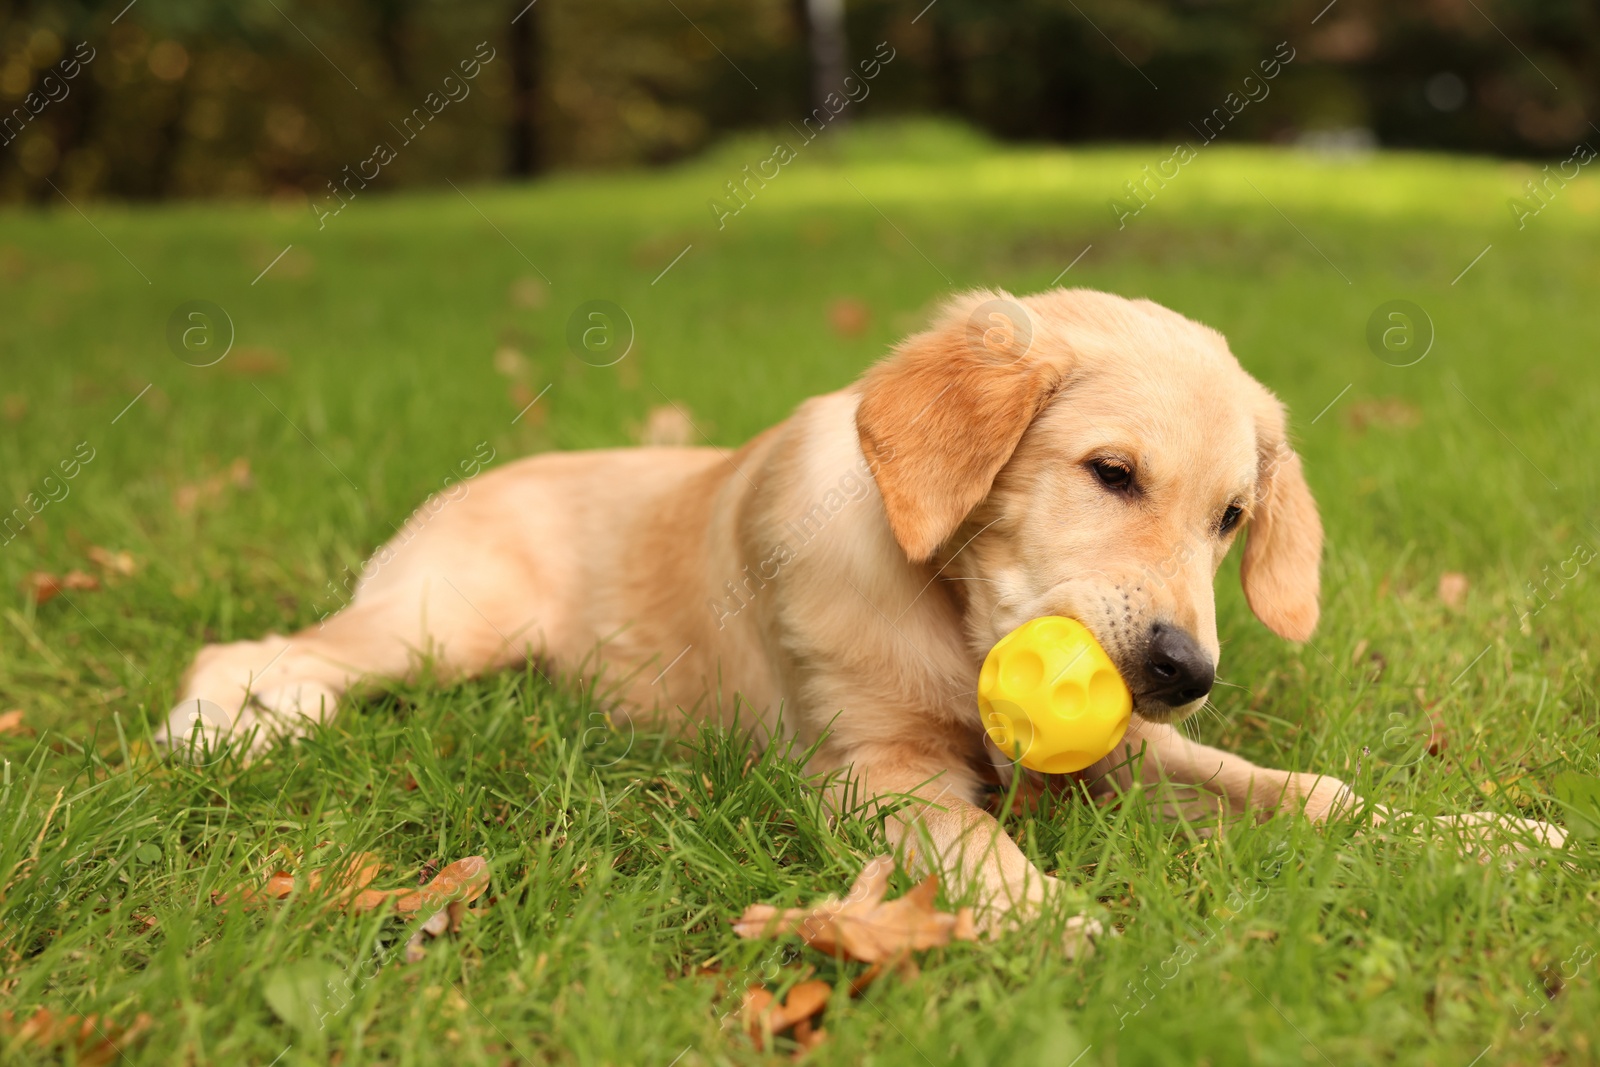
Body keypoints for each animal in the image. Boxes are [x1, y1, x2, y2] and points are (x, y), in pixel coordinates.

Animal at [172, 289, 1561, 940]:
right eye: (1110, 473)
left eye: (1230, 517)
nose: (1184, 668)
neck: (953, 615)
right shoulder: (872, 770)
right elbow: (975, 845)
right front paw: (1052, 918)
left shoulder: (1134, 756)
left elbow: (1300, 789)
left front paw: (1479, 837)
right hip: (441, 622)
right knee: (271, 649)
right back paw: (227, 724)